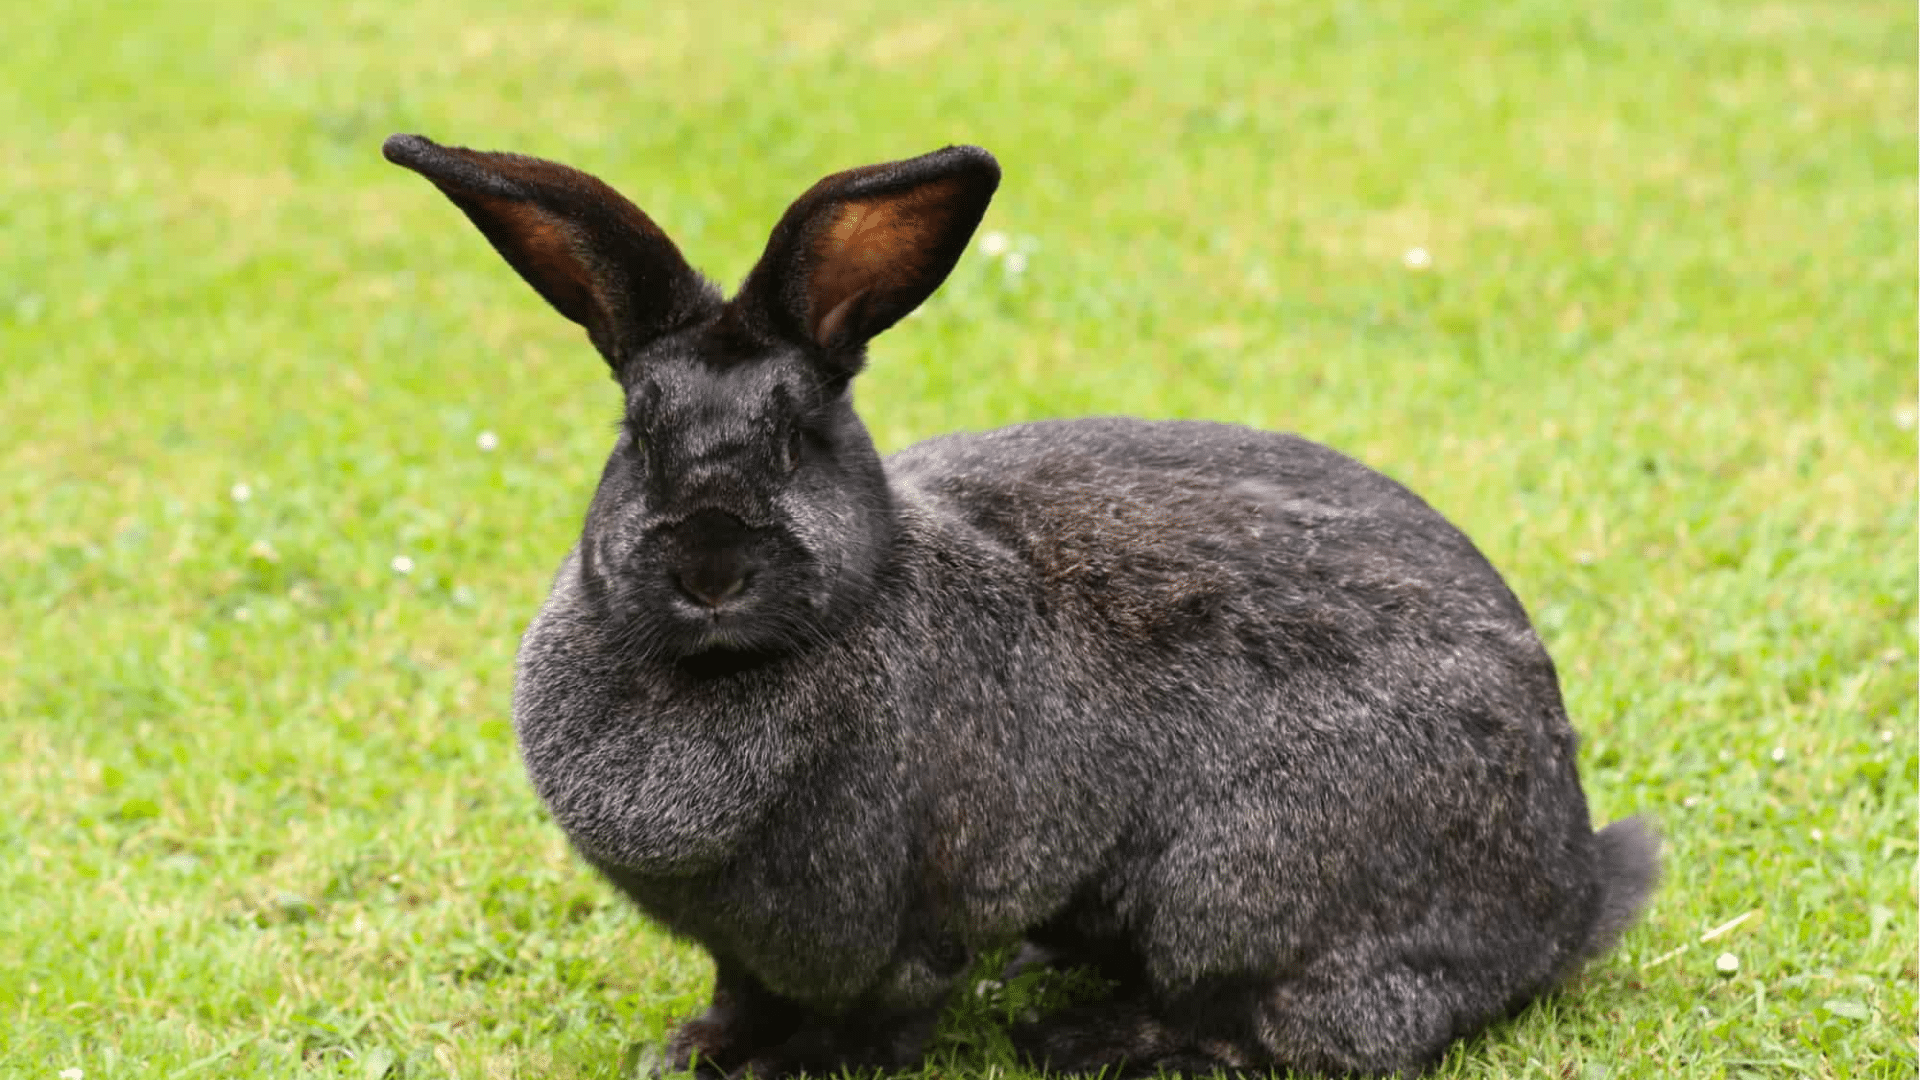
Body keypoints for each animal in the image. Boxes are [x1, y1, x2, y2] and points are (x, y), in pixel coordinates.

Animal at [382, 132, 1659, 1079]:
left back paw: (1087, 1033)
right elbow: (740, 992)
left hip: (1235, 894)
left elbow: (878, 1013)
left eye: (797, 440)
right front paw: (697, 1050)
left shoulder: (902, 922)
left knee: (1288, 1027)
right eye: (638, 438)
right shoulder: (744, 947)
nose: (708, 568)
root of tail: (1566, 898)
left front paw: (794, 1063)